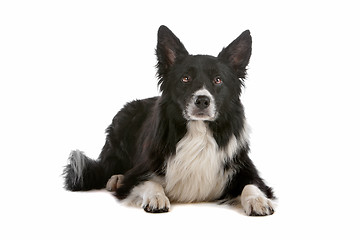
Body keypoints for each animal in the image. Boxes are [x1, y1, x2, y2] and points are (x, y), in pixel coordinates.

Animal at [63, 24, 276, 216]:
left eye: (218, 80)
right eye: (185, 78)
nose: (202, 100)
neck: (198, 132)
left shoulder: (245, 169)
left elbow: (251, 185)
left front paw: (258, 201)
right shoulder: (140, 172)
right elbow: (149, 182)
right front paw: (156, 197)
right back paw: (116, 178)